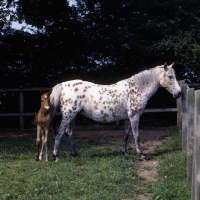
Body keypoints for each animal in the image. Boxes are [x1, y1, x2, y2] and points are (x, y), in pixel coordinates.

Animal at [48, 63, 181, 162]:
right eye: (170, 76)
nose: (179, 93)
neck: (136, 89)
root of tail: (63, 85)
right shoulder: (134, 117)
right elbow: (136, 136)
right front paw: (141, 155)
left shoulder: (127, 118)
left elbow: (126, 135)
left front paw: (125, 153)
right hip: (68, 115)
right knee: (60, 133)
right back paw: (56, 156)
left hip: (73, 116)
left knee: (69, 133)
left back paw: (74, 154)